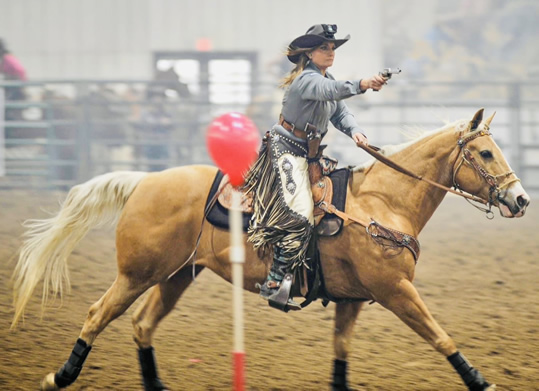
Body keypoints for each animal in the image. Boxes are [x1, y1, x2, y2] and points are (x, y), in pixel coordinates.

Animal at [10, 108, 528, 390]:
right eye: (485, 153)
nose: (521, 199)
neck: (384, 200)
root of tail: (143, 181)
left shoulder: (353, 300)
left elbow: (341, 354)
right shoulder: (394, 290)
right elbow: (440, 336)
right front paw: (480, 380)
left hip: (177, 276)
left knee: (142, 324)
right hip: (137, 273)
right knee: (99, 313)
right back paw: (60, 376)